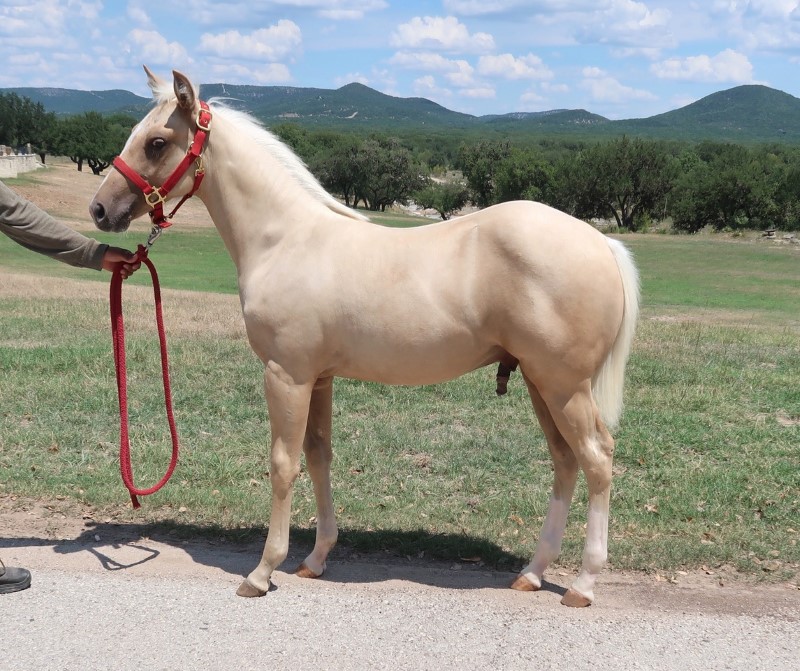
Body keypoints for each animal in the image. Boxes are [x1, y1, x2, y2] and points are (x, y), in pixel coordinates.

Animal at [90, 69, 636, 608]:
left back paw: (583, 584)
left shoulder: (286, 376)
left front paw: (263, 571)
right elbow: (319, 458)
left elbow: (283, 465)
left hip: (564, 386)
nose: (99, 209)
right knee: (566, 463)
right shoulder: (318, 379)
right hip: (541, 383)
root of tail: (601, 242)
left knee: (597, 460)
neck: (284, 239)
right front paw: (315, 558)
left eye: (157, 143)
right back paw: (533, 573)